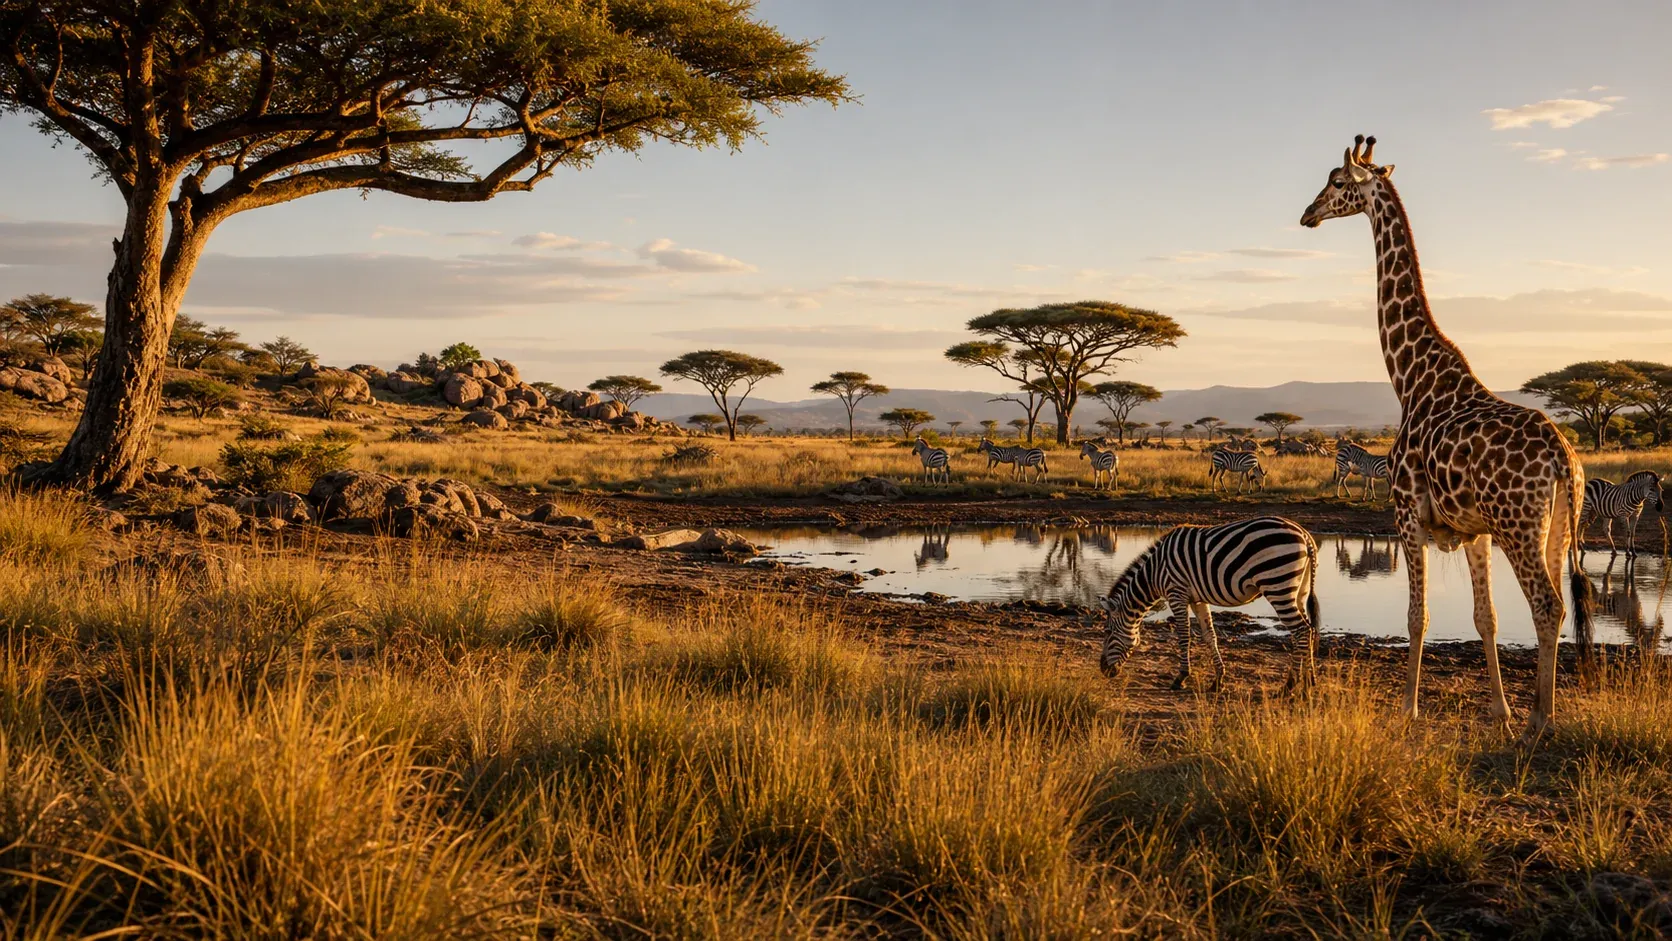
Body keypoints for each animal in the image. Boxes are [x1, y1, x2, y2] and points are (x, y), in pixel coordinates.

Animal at [1099, 516, 1322, 691]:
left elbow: (1184, 636)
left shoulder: (1176, 593)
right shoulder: (1197, 599)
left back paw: (1290, 685)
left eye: (1108, 632)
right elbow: (1210, 636)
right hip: (1298, 590)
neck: (1154, 572)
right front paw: (1218, 680)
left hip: (1277, 585)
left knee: (1301, 631)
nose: (1103, 670)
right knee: (1307, 630)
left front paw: (1181, 677)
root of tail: (1305, 535)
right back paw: (1309, 681)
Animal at [1300, 135, 1593, 737]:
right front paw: (1499, 710)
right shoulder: (1474, 530)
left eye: (1337, 182)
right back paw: (1541, 715)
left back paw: (1540, 720)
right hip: (1555, 525)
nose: (1307, 214)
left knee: (1548, 604)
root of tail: (1561, 455)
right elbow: (1486, 618)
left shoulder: (1406, 511)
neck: (1412, 377)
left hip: (1518, 524)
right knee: (1552, 605)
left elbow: (1418, 615)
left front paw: (1407, 708)